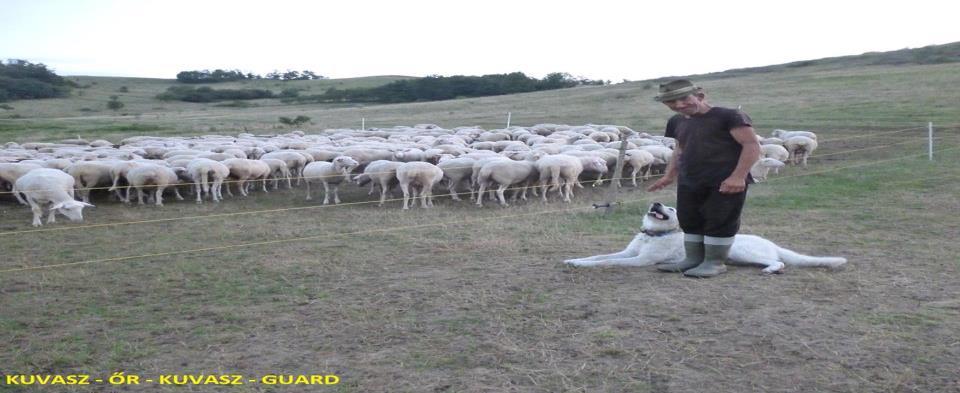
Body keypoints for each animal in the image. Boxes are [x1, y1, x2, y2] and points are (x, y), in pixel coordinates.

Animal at [568, 202, 844, 272]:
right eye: (659, 204)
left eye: (671, 208)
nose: (656, 203)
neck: (653, 234)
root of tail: (773, 243)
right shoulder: (628, 252)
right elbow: (599, 255)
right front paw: (574, 260)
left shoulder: (638, 260)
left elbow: (606, 261)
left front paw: (583, 265)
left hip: (742, 251)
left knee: (779, 262)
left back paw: (770, 270)